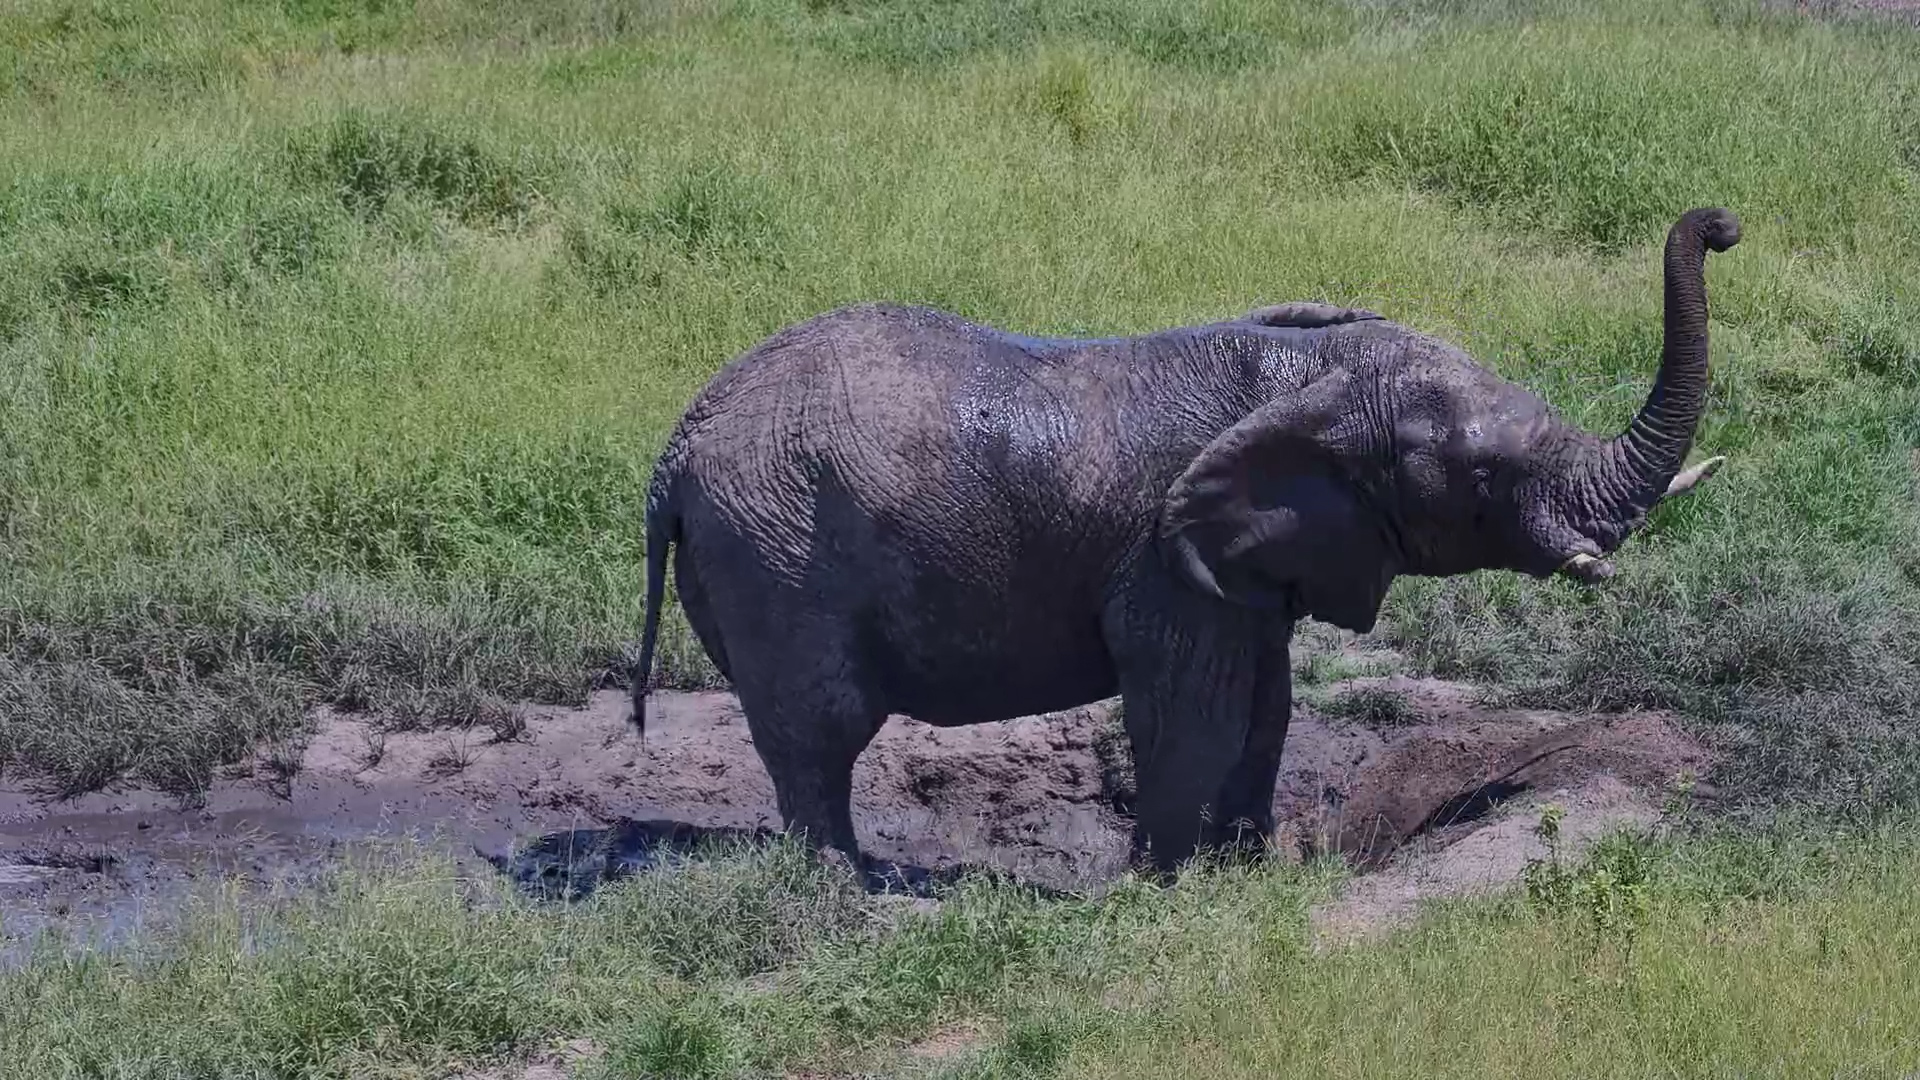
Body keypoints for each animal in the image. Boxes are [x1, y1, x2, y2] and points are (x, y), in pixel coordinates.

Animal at [628, 206, 1741, 879]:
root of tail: (674, 451)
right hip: (775, 552)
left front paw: (1246, 867)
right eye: (1481, 482)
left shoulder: (1255, 559)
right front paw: (1162, 885)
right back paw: (851, 889)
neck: (1313, 379)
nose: (1720, 227)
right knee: (819, 731)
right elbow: (1191, 711)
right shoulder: (1163, 557)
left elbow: (1267, 707)